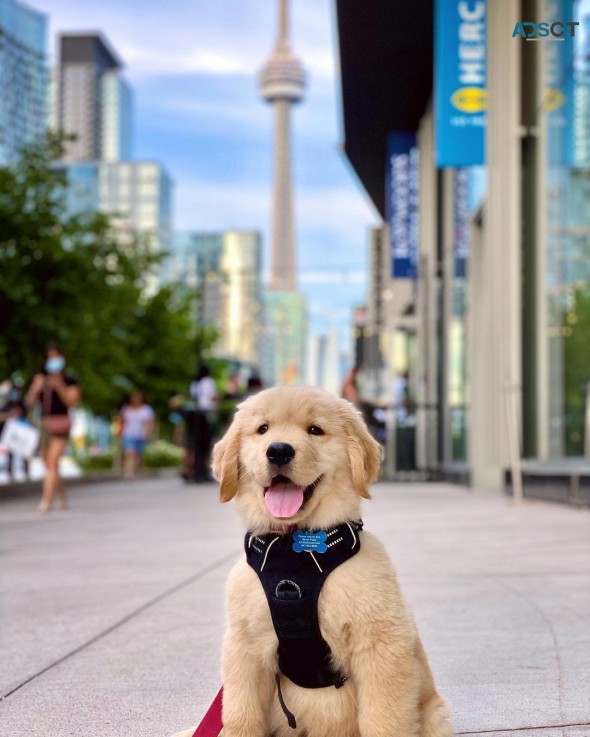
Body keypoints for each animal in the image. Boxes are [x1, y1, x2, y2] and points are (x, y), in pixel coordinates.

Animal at [173, 386, 450, 736]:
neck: (292, 550)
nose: (278, 451)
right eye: (262, 429)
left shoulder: (380, 642)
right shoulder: (244, 646)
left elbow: (384, 718)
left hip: (434, 715)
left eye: (315, 430)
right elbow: (240, 714)